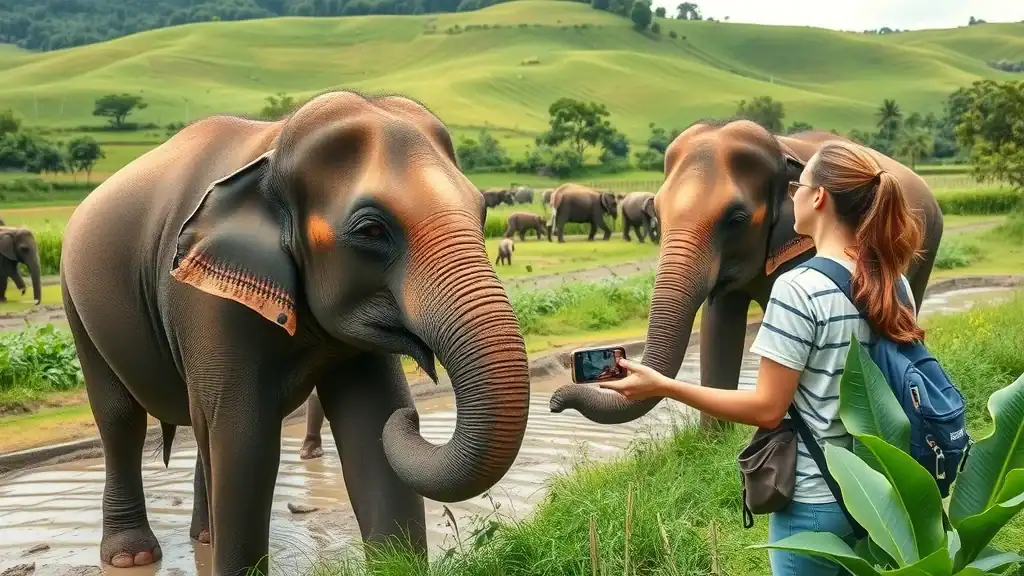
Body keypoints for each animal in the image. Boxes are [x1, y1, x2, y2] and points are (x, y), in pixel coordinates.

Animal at [59, 90, 532, 576]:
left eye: (483, 211)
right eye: (371, 230)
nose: (414, 419)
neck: (272, 145)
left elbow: (371, 422)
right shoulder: (205, 302)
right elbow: (245, 440)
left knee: (200, 425)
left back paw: (203, 537)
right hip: (77, 303)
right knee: (121, 420)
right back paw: (131, 556)